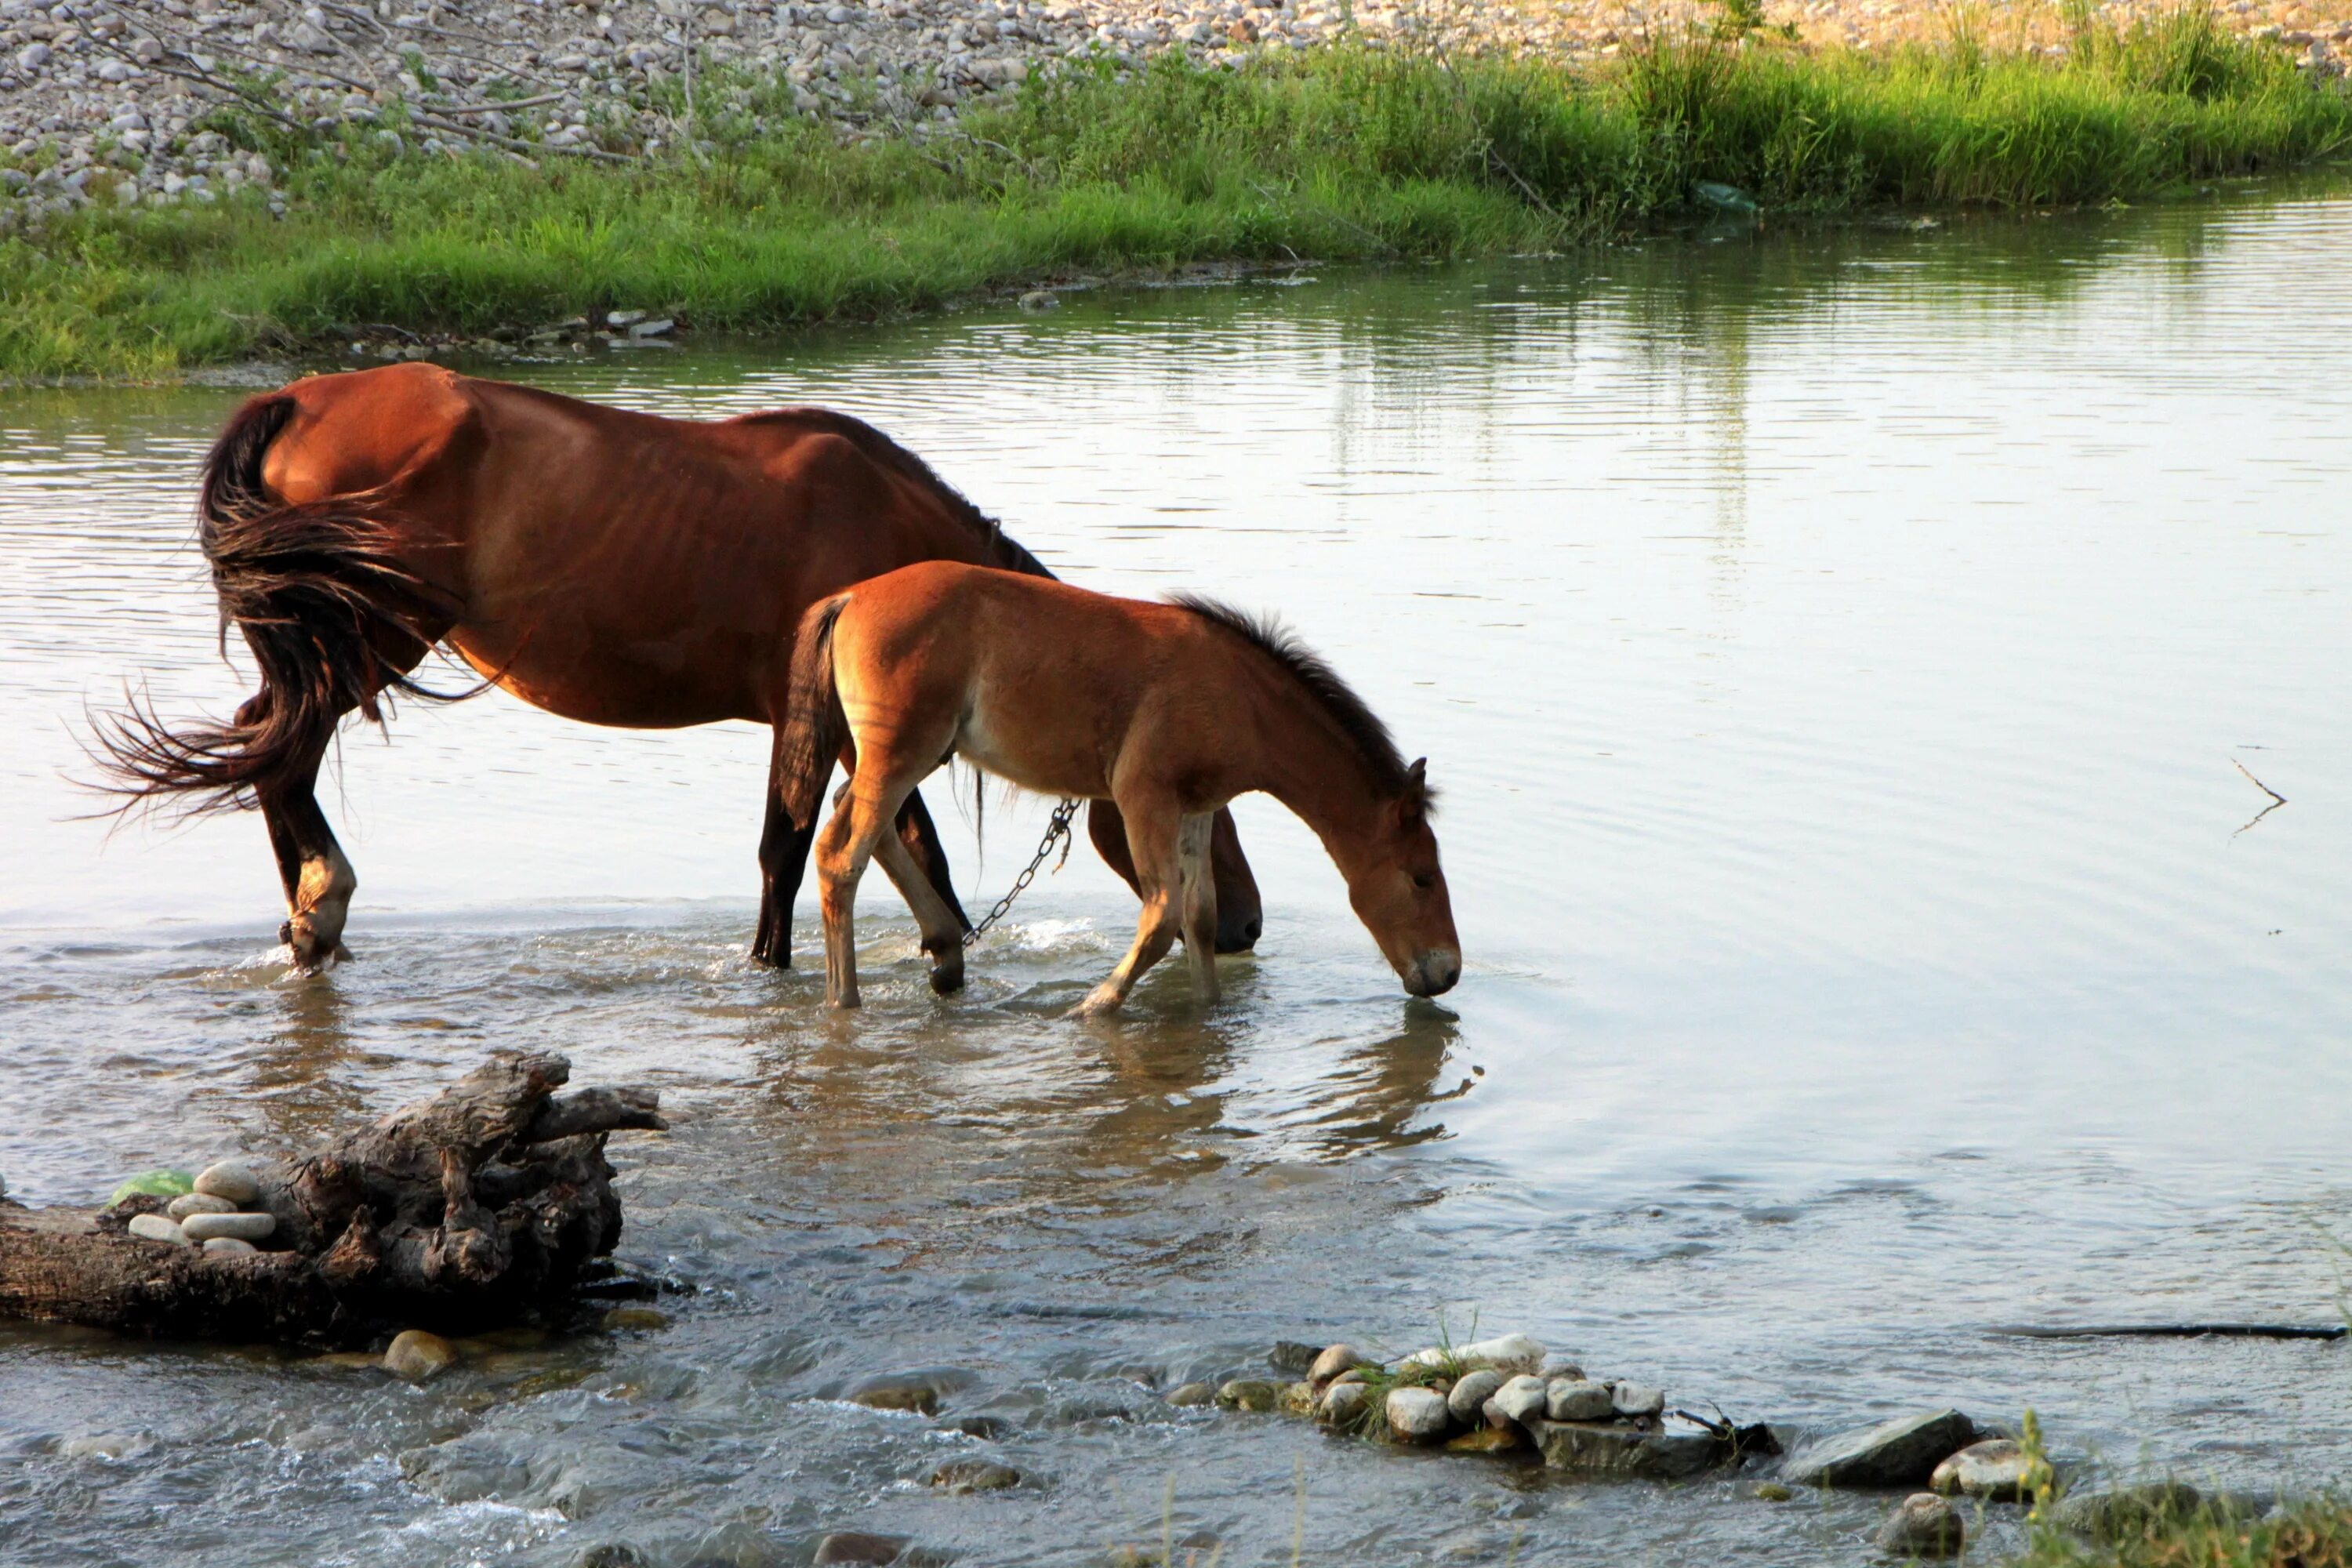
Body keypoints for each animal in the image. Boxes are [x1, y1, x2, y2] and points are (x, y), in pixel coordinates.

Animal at [96, 364, 1251, 968]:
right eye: (1210, 800)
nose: (1243, 923)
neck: (881, 526)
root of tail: (296, 401)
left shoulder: (884, 722)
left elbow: (906, 845)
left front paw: (944, 948)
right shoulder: (814, 716)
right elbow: (789, 850)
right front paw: (768, 967)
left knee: (267, 749)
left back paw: (309, 929)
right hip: (367, 642)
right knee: (278, 755)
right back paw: (321, 906)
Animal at [781, 564, 1458, 1020]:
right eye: (1422, 877)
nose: (1449, 972)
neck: (1241, 696)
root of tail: (852, 595)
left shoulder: (1197, 808)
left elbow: (1200, 915)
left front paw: (1208, 1012)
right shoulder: (1142, 797)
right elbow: (1161, 917)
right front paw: (1092, 1008)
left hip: (907, 758)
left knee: (854, 822)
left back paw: (946, 952)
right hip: (900, 755)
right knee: (841, 854)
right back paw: (845, 1001)